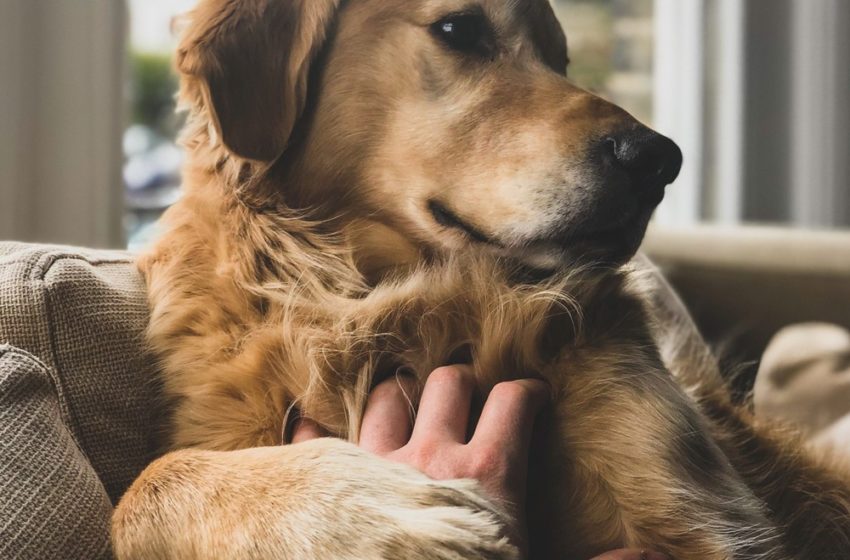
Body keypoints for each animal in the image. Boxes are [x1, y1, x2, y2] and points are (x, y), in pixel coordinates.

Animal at [111, 1, 848, 560]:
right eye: (459, 28)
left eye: (560, 58)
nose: (659, 160)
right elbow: (146, 484)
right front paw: (380, 512)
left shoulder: (706, 521)